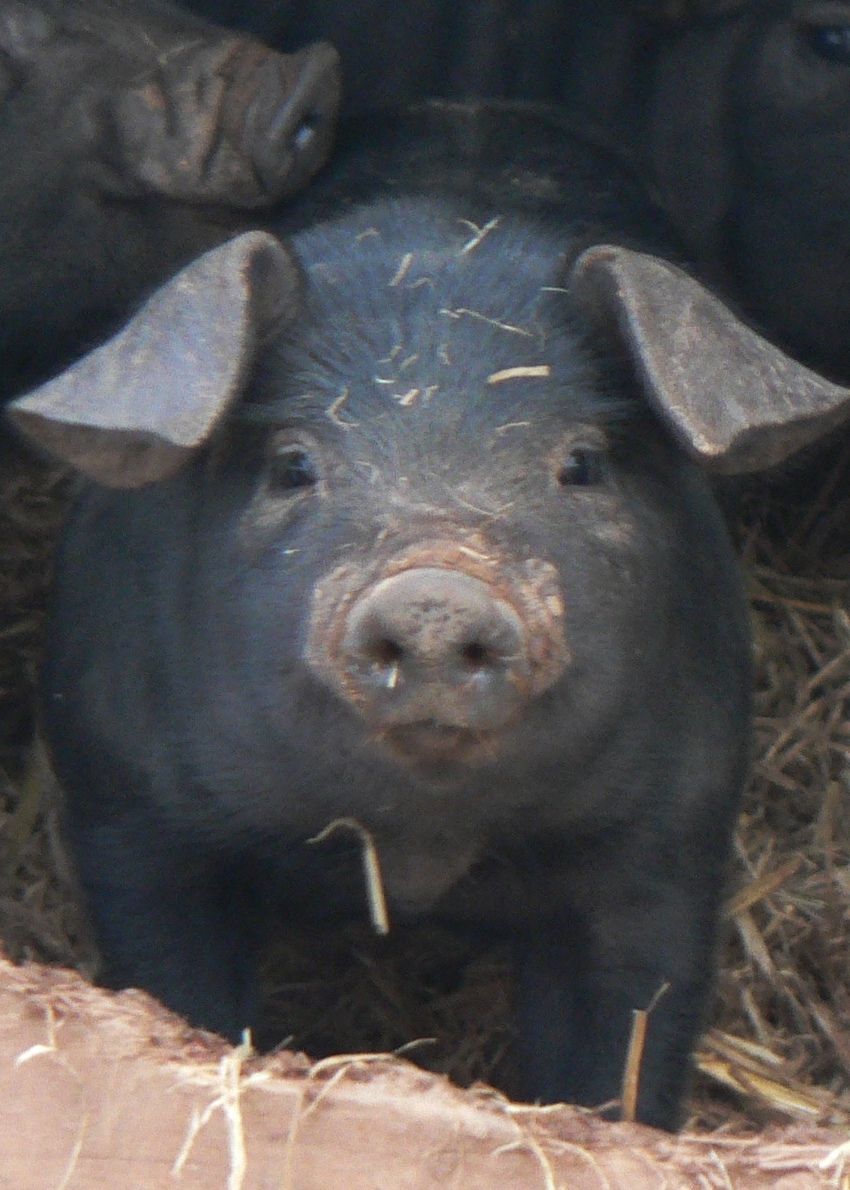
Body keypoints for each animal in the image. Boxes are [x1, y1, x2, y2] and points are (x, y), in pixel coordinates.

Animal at [10, 102, 850, 1130]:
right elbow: (174, 977)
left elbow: (628, 1031)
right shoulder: (127, 804)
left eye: (582, 463)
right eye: (292, 464)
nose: (436, 594)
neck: (414, 849)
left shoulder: (671, 836)